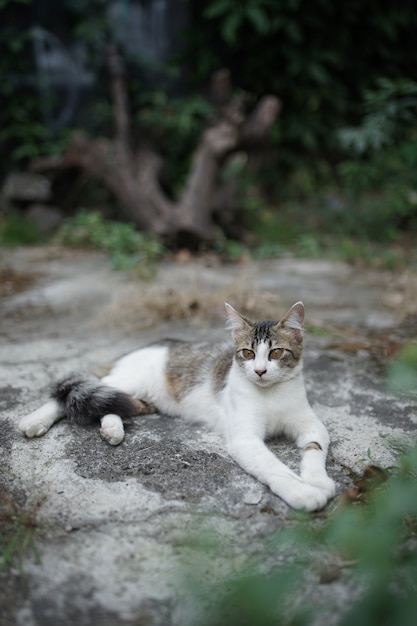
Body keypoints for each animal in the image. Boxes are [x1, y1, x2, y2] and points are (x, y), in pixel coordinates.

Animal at [18, 300, 334, 510]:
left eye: (277, 353)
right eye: (247, 353)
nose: (259, 371)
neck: (270, 395)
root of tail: (145, 345)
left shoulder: (310, 423)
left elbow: (316, 447)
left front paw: (317, 481)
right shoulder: (245, 439)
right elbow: (273, 467)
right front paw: (302, 492)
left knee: (110, 402)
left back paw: (112, 430)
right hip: (128, 380)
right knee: (78, 391)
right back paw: (35, 421)